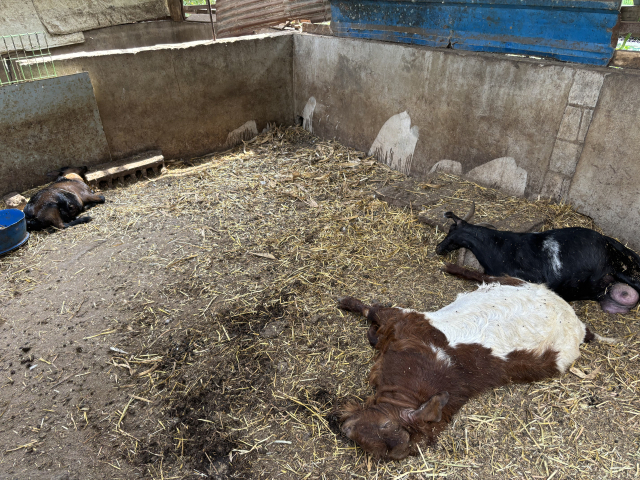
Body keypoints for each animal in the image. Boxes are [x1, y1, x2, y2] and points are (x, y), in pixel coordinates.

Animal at [338, 272, 612, 460]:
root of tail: (577, 323)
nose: (346, 429)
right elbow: (371, 311)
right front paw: (345, 302)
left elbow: (373, 314)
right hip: (514, 280)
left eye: (386, 427)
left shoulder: (401, 320)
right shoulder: (403, 320)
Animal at [436, 208, 640, 314]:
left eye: (451, 234)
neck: (498, 246)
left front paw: (448, 268)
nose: (438, 248)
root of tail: (607, 241)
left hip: (618, 268)